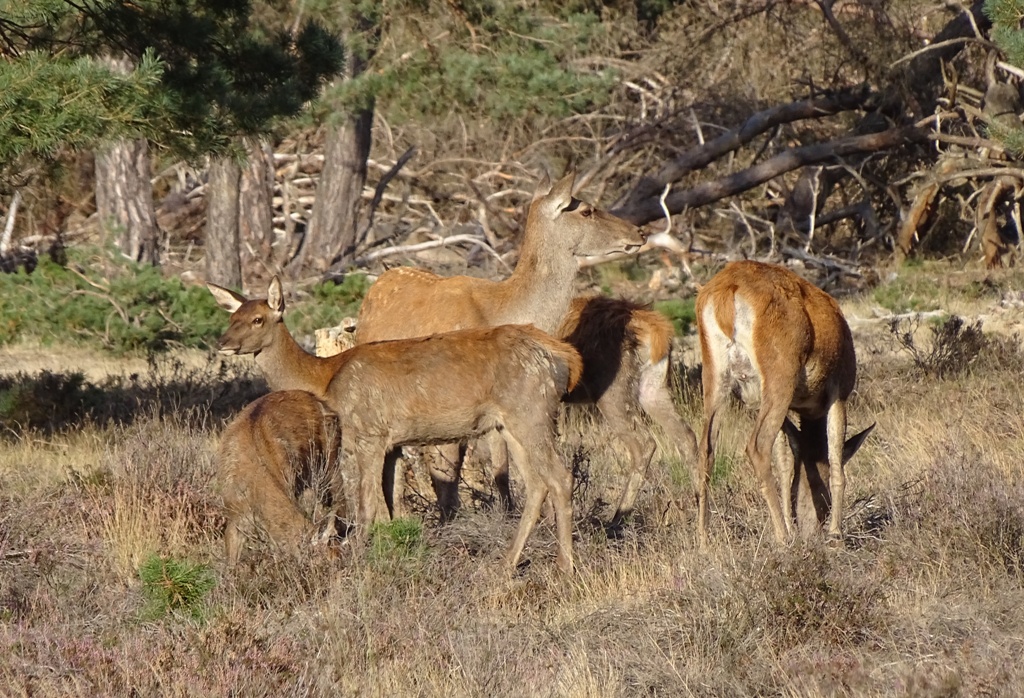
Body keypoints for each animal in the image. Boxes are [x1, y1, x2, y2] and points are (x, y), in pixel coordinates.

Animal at [353, 170, 696, 524]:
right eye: (586, 210)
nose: (639, 232)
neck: (502, 309)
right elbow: (454, 468)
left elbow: (502, 464)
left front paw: (511, 514)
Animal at [694, 260, 873, 546]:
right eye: (822, 496)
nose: (811, 528)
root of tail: (726, 293)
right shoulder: (840, 393)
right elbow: (836, 464)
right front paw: (836, 534)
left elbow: (786, 466)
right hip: (780, 375)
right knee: (757, 445)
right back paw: (782, 538)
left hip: (715, 378)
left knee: (705, 450)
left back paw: (703, 541)